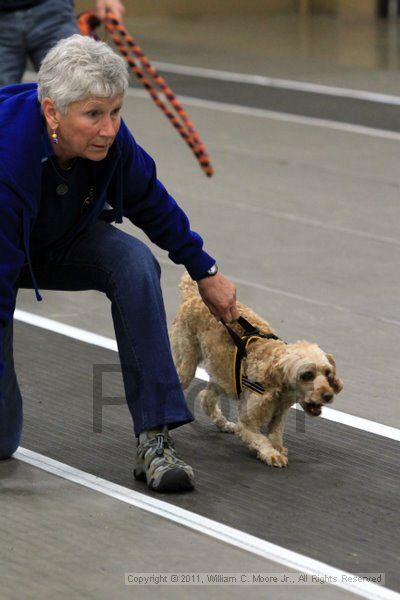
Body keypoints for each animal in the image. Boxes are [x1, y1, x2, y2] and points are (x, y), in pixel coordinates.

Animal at [170, 274, 342, 466]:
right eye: (307, 375)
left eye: (328, 374)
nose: (328, 395)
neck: (277, 384)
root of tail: (192, 297)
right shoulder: (247, 422)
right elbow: (261, 439)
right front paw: (271, 454)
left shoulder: (279, 414)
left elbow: (275, 434)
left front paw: (278, 448)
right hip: (186, 366)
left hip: (221, 373)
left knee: (206, 399)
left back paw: (223, 424)